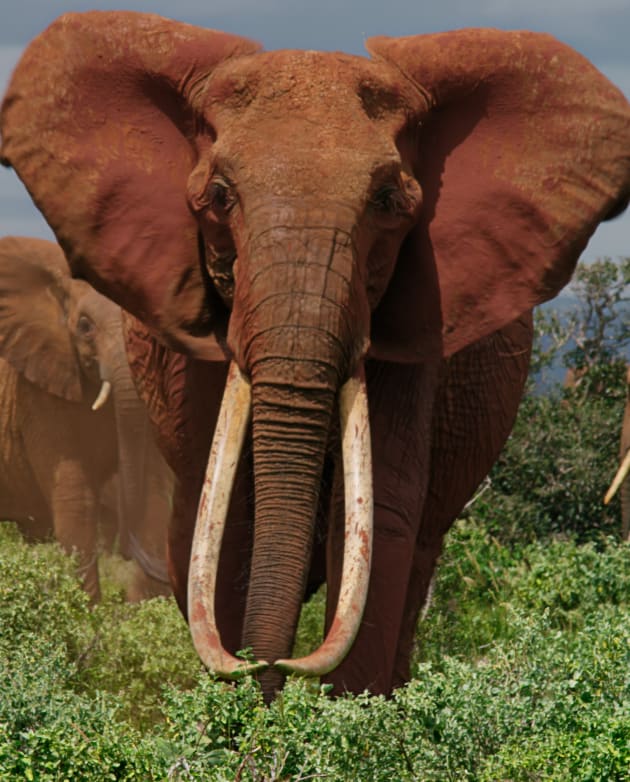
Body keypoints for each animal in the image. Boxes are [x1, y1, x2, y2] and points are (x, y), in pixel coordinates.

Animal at [0, 235, 173, 602]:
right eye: (84, 326)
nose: (128, 555)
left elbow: (154, 487)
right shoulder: (38, 392)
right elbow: (75, 498)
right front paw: (87, 610)